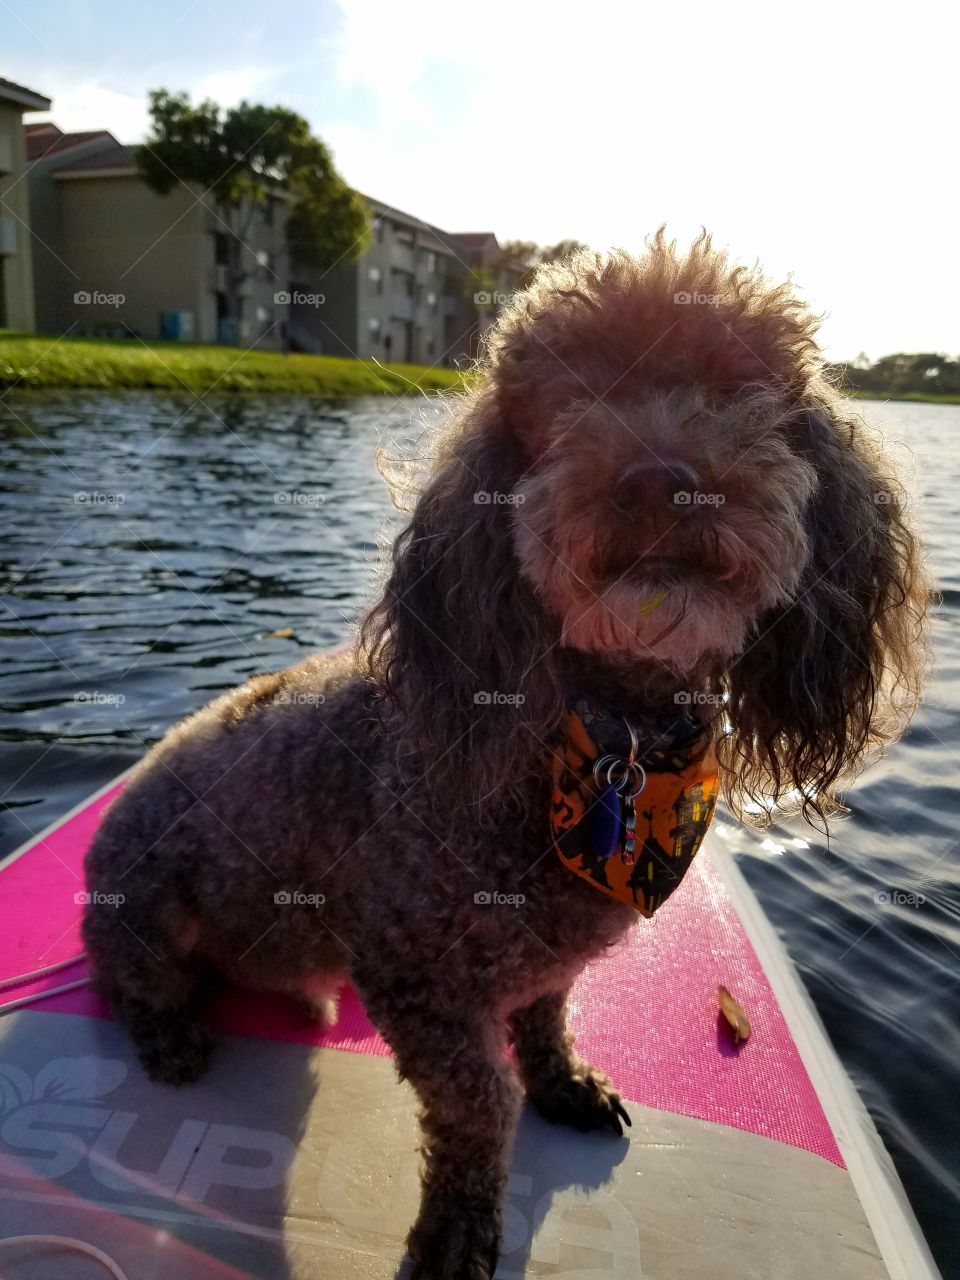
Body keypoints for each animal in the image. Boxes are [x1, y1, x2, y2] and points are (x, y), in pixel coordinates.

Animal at [86, 235, 926, 1274]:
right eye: (566, 402)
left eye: (737, 384)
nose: (656, 479)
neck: (602, 753)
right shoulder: (418, 980)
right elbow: (479, 1105)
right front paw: (457, 1225)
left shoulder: (545, 962)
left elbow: (545, 1019)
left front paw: (563, 1084)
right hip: (145, 910)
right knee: (131, 985)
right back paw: (168, 1036)